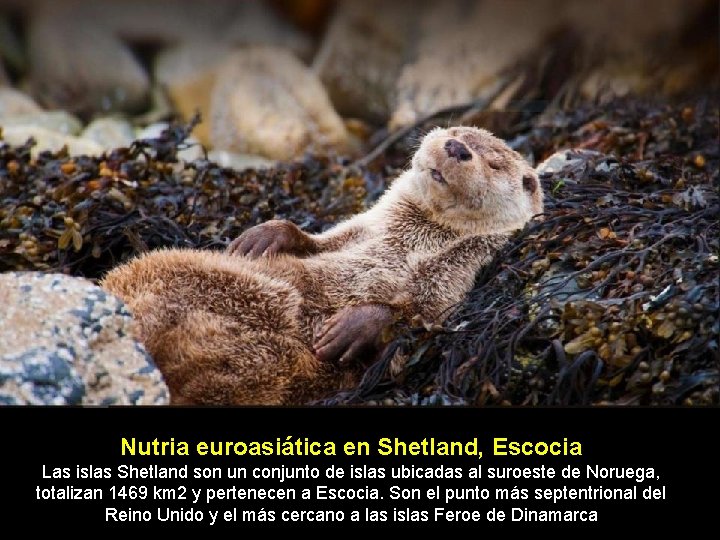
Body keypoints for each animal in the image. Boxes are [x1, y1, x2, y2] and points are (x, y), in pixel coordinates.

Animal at [100, 127, 540, 404]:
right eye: (456, 133)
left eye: (494, 163)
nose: (456, 148)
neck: (409, 240)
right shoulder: (358, 229)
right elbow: (315, 241)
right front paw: (264, 236)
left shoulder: (454, 278)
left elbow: (415, 323)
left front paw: (352, 326)